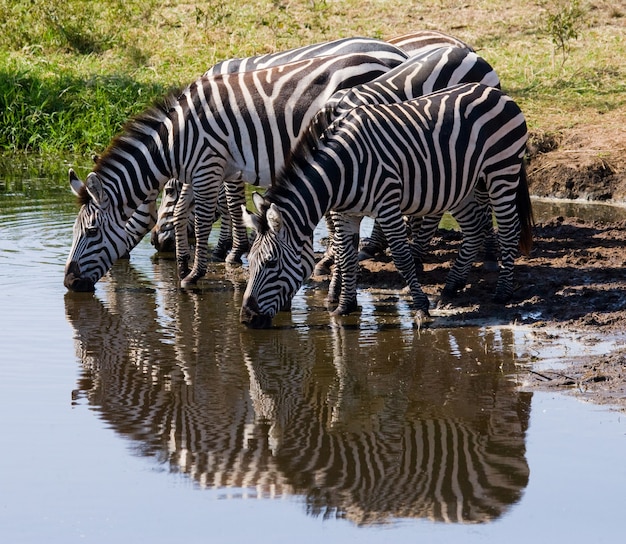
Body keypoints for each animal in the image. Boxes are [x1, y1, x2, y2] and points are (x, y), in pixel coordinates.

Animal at [63, 51, 404, 292]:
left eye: (91, 232)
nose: (68, 283)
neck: (175, 142)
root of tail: (391, 59)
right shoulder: (205, 170)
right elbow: (194, 211)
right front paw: (189, 262)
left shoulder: (208, 166)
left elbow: (204, 219)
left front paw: (194, 274)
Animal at [239, 81, 532, 328]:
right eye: (250, 262)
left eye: (271, 263)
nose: (246, 318)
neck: (341, 170)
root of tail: (497, 92)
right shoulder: (346, 213)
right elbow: (346, 257)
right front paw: (344, 307)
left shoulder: (387, 206)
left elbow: (401, 257)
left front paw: (421, 307)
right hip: (465, 184)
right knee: (474, 228)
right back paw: (451, 286)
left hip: (501, 170)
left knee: (508, 229)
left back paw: (503, 292)